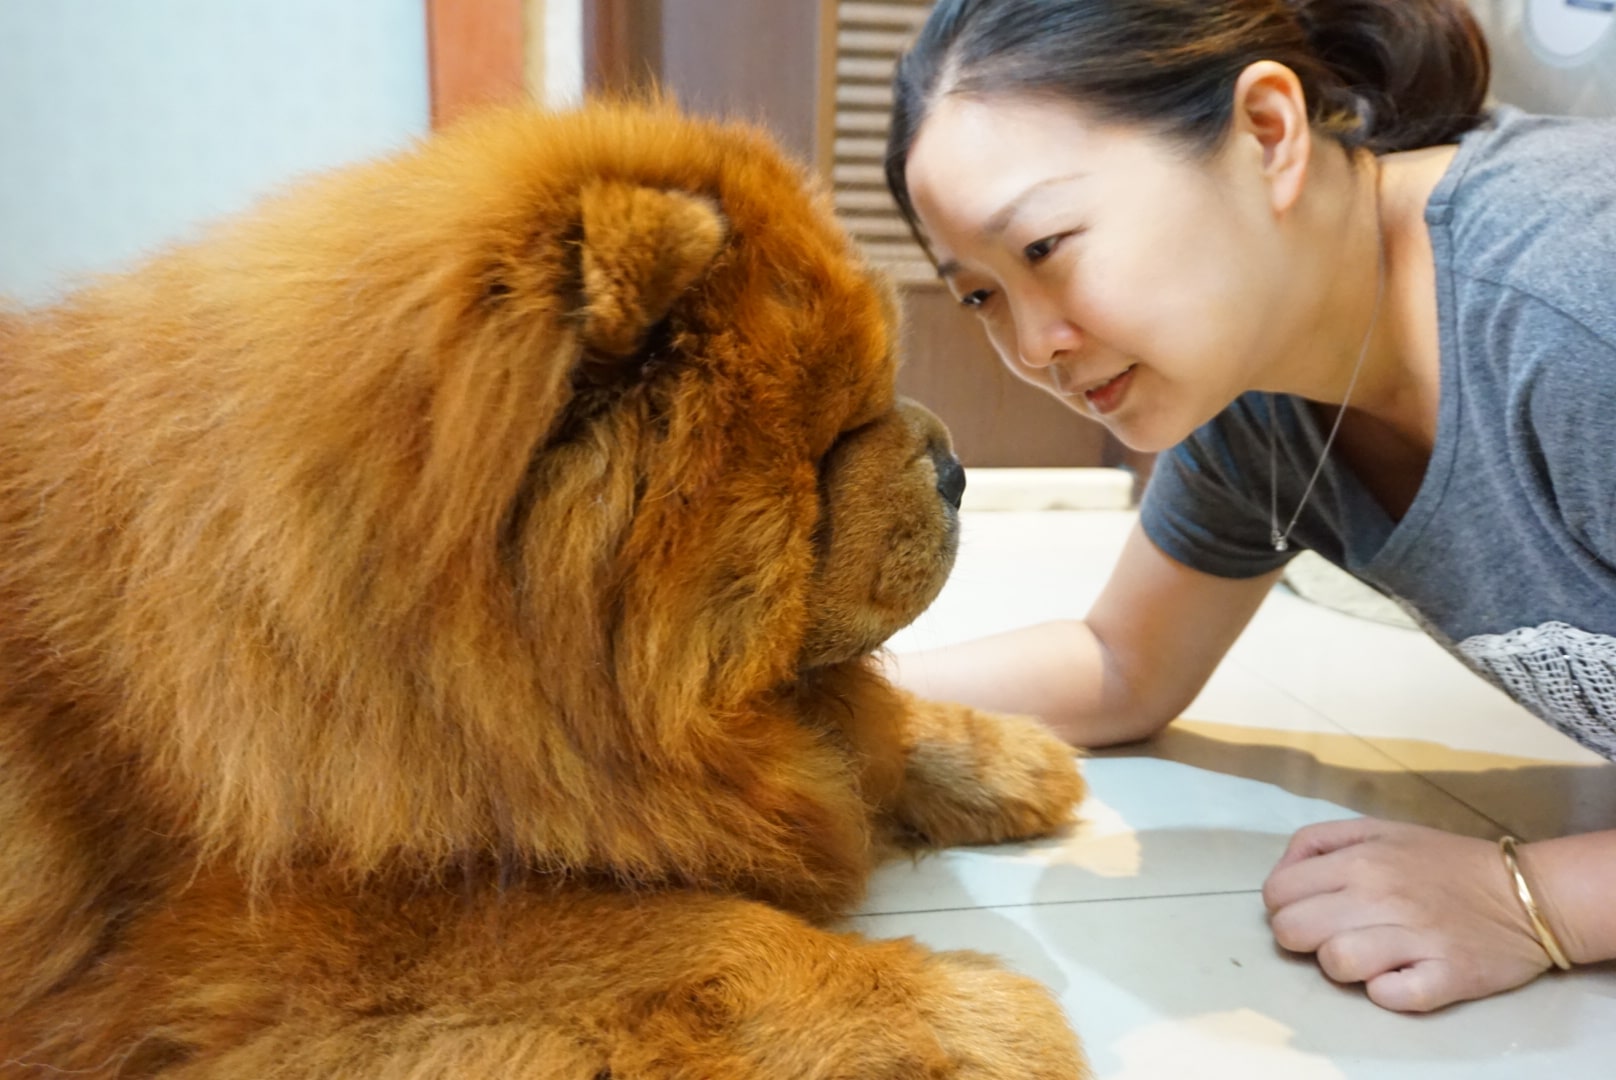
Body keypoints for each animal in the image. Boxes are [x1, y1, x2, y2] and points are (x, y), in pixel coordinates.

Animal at [0, 99, 1092, 1073]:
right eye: (832, 438)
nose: (956, 468)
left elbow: (879, 729)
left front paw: (1016, 760)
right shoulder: (254, 946)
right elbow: (707, 934)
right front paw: (981, 1017)